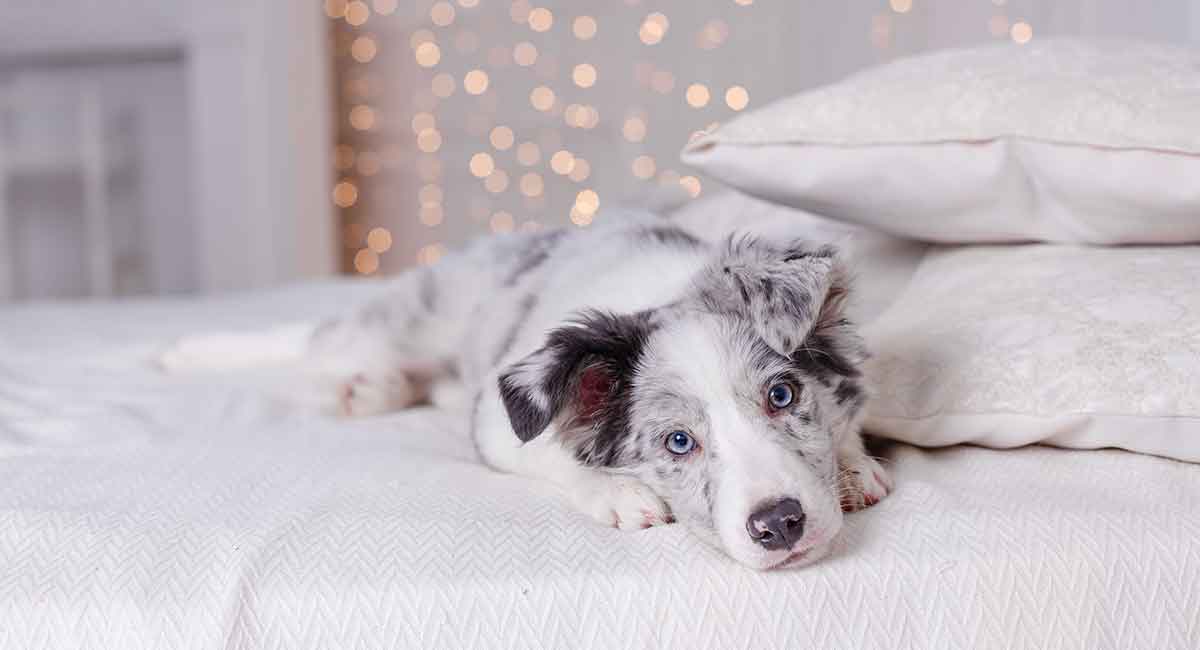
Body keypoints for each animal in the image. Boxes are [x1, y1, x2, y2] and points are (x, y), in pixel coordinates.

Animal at [159, 212, 892, 570]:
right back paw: (195, 350)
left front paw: (854, 466)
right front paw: (620, 494)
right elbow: (549, 450)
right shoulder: (498, 413)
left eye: (782, 397)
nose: (780, 525)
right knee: (316, 338)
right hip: (409, 318)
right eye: (678, 442)